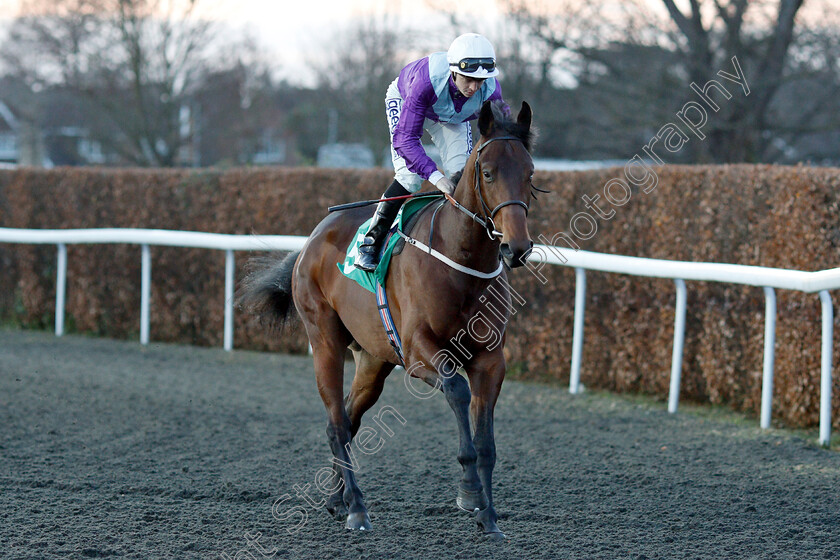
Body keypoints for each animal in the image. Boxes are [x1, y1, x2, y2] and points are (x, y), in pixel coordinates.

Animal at [240, 99, 536, 540]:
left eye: (530, 173)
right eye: (488, 173)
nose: (517, 248)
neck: (461, 262)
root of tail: (311, 240)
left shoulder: (490, 360)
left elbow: (486, 443)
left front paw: (489, 516)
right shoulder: (418, 352)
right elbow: (457, 392)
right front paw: (469, 491)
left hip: (373, 360)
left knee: (349, 417)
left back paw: (337, 499)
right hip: (325, 341)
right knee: (336, 423)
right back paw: (356, 509)